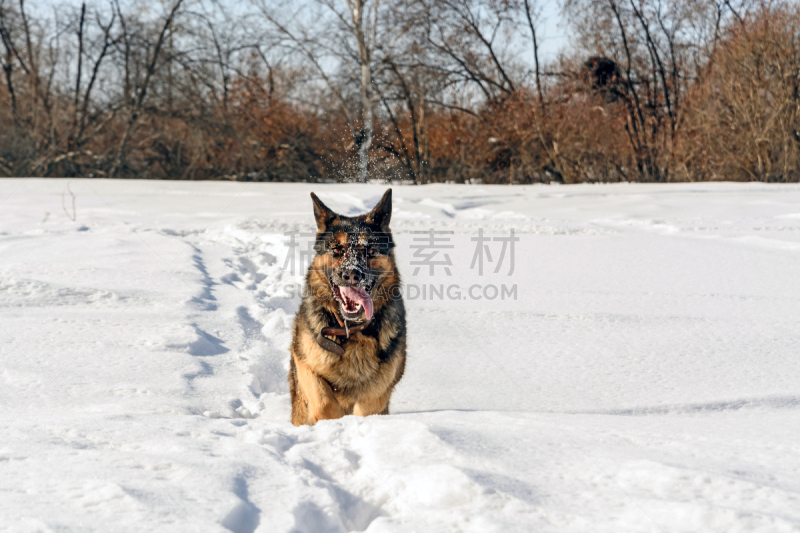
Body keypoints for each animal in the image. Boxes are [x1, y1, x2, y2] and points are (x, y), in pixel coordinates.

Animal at [288, 189, 406, 426]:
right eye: (337, 249)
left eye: (370, 250)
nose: (351, 274)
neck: (351, 330)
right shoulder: (305, 365)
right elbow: (324, 402)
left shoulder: (378, 391)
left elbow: (367, 408)